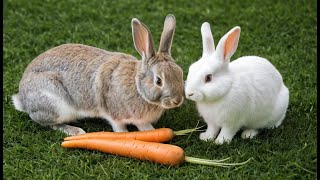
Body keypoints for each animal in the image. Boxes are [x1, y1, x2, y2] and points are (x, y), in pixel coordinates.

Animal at [11, 14, 185, 135]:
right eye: (158, 81)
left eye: (181, 73)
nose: (177, 101)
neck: (137, 87)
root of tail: (23, 100)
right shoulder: (113, 114)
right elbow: (119, 127)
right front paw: (124, 136)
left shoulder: (139, 119)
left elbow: (144, 126)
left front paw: (151, 131)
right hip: (55, 103)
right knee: (46, 122)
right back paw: (75, 131)